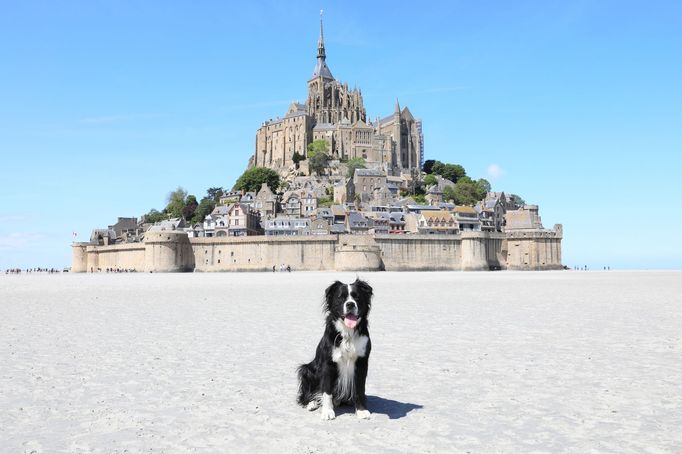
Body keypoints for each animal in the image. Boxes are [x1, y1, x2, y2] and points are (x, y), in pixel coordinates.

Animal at [296, 278, 372, 420]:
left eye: (357, 297)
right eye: (340, 297)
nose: (350, 304)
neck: (347, 333)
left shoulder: (362, 362)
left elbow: (360, 389)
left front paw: (361, 410)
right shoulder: (328, 364)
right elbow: (327, 391)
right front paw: (327, 411)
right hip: (307, 370)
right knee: (305, 395)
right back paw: (312, 403)